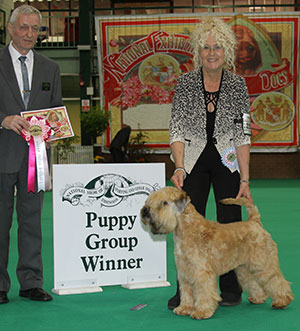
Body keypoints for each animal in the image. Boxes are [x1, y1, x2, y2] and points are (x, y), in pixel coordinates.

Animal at [140, 187, 292, 320]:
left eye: (164, 203)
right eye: (150, 200)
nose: (145, 211)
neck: (186, 229)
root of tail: (255, 222)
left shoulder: (201, 272)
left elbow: (203, 292)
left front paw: (201, 311)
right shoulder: (184, 272)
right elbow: (187, 292)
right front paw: (184, 308)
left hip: (263, 264)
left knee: (276, 280)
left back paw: (282, 301)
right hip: (244, 268)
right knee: (253, 282)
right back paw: (258, 298)